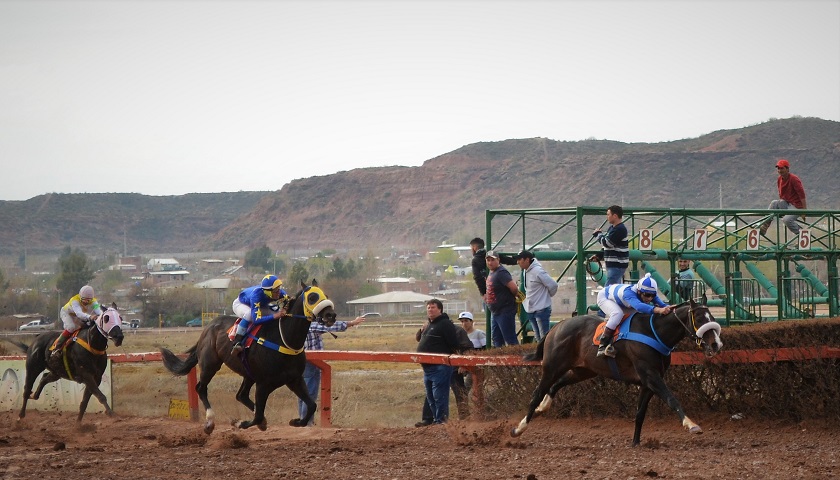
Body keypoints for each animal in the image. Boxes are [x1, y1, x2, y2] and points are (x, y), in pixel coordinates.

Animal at [159, 280, 336, 434]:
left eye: (326, 295)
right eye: (312, 297)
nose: (331, 315)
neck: (283, 339)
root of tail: (208, 327)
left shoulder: (294, 379)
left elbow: (312, 405)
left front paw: (296, 421)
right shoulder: (263, 384)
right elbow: (257, 417)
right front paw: (239, 422)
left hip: (248, 373)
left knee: (241, 395)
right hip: (210, 363)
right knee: (201, 388)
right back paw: (209, 422)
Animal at [508, 298, 724, 448]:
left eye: (712, 318)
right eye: (700, 319)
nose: (716, 344)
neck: (654, 332)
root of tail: (557, 326)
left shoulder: (648, 381)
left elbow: (640, 412)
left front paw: (635, 442)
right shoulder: (650, 375)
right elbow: (672, 399)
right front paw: (691, 425)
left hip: (583, 371)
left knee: (556, 385)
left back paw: (542, 408)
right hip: (552, 366)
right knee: (537, 394)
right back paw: (519, 428)